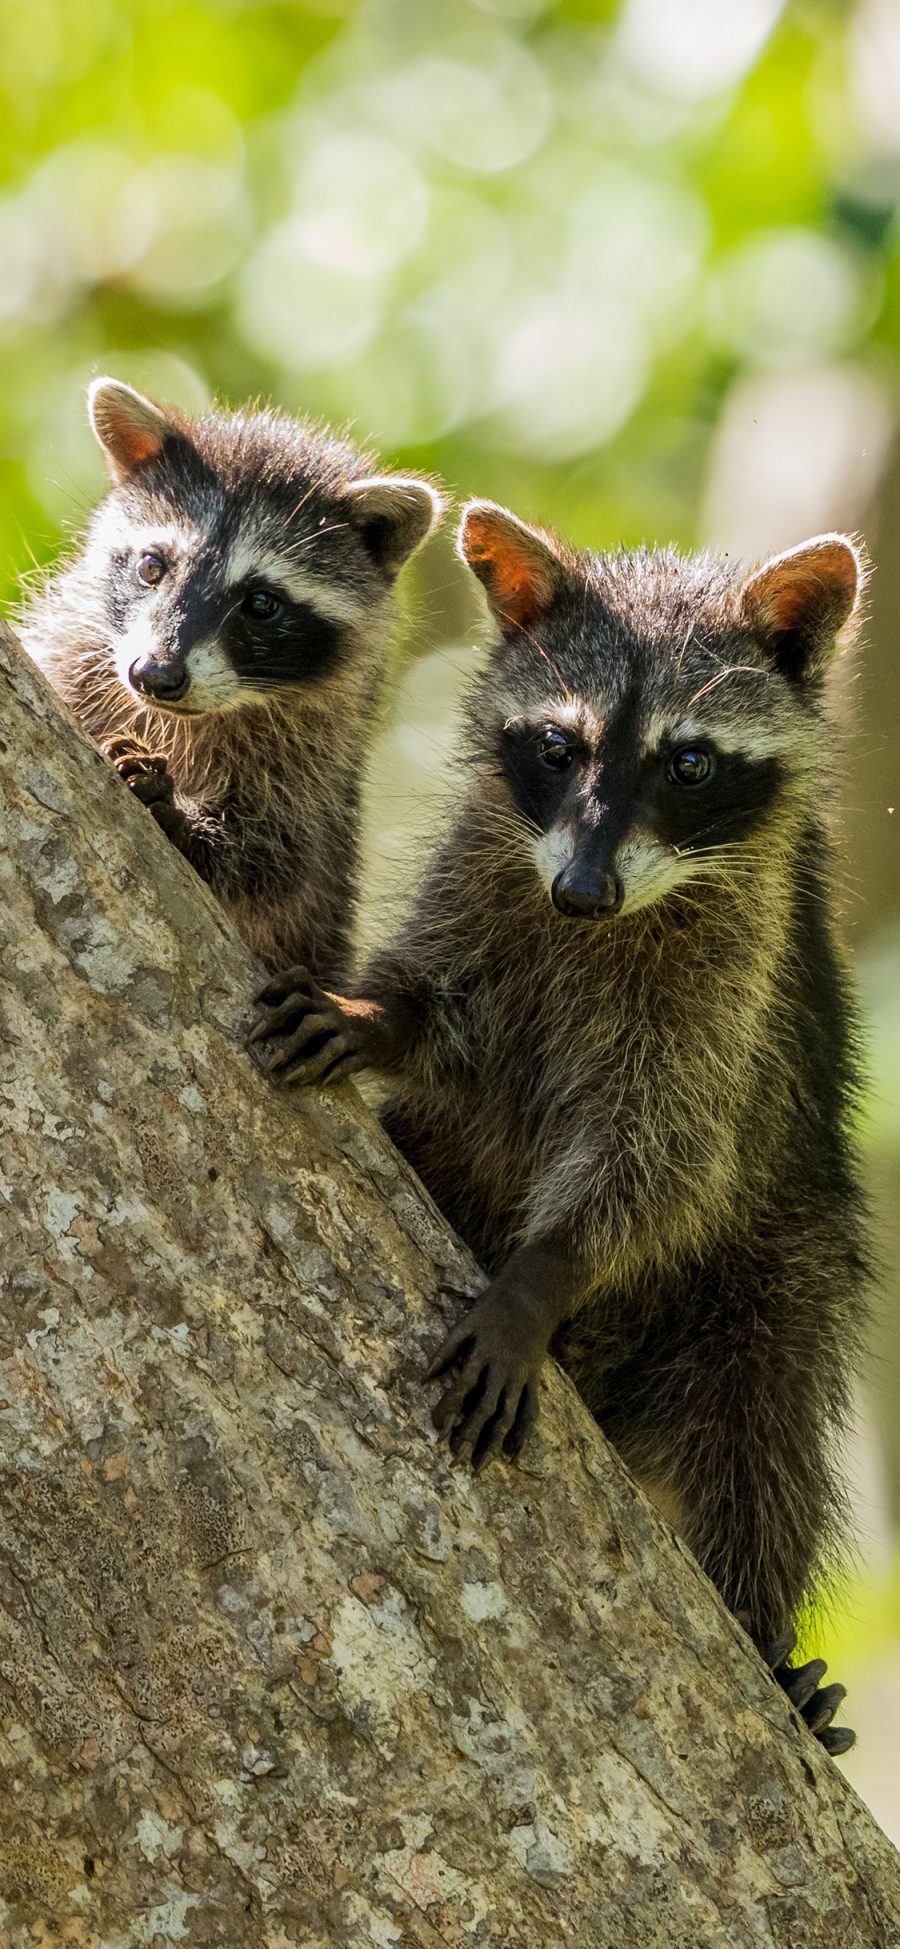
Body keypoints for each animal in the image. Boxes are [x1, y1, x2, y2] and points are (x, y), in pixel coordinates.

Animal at [18, 382, 442, 982]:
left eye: (261, 602)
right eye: (151, 567)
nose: (155, 675)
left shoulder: (315, 760)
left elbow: (279, 858)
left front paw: (182, 817)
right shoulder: (74, 654)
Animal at [249, 498, 868, 1754]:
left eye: (689, 761)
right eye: (558, 745)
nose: (582, 894)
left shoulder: (731, 985)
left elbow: (665, 1155)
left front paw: (545, 1270)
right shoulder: (488, 869)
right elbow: (442, 1001)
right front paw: (377, 1016)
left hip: (783, 1262)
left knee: (765, 1423)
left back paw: (765, 1634)